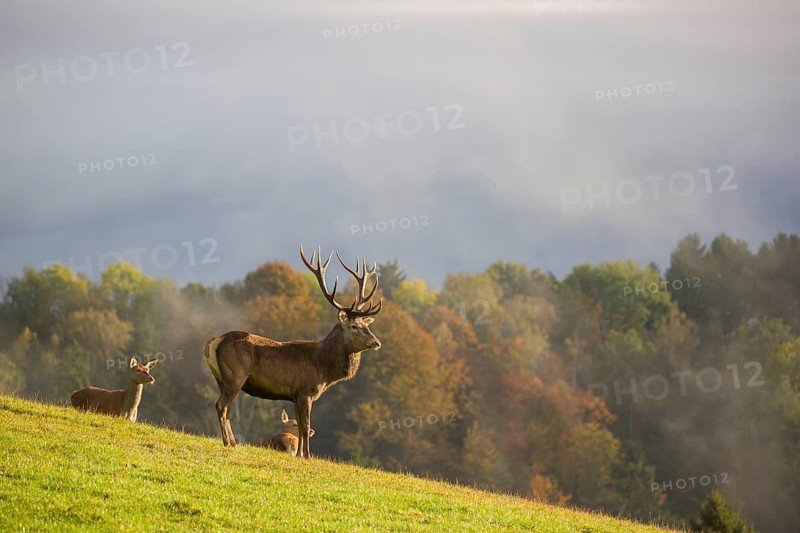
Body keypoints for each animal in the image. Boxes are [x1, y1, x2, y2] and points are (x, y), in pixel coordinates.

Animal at [204, 245, 383, 458]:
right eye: (354, 326)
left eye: (366, 325)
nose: (377, 342)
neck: (323, 368)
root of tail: (215, 341)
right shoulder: (305, 391)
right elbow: (306, 426)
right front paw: (307, 456)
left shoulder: (296, 395)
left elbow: (302, 425)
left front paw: (300, 455)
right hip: (235, 375)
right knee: (221, 405)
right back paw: (229, 443)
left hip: (220, 378)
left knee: (226, 407)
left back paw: (232, 441)